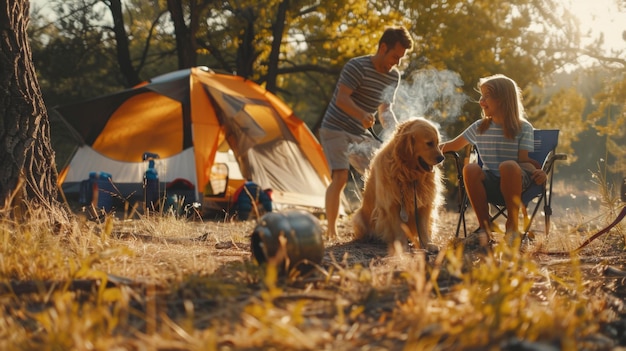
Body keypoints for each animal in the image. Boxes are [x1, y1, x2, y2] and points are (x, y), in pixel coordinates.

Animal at [352, 118, 444, 253]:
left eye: (438, 143)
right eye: (429, 143)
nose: (442, 158)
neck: (409, 174)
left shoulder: (424, 204)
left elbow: (423, 228)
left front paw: (428, 244)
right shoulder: (392, 205)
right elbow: (399, 228)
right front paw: (402, 247)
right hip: (358, 218)